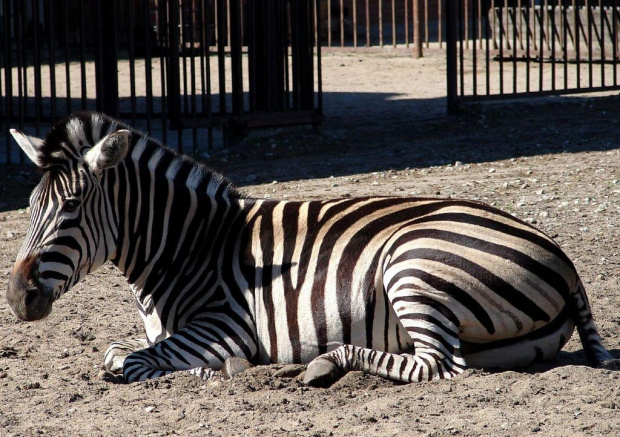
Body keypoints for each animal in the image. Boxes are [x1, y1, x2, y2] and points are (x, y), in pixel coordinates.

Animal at [7, 111, 616, 384]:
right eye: (29, 207)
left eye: (70, 208)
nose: (15, 298)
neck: (188, 246)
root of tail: (566, 261)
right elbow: (120, 351)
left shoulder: (226, 324)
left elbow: (131, 362)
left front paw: (220, 370)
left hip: (412, 263)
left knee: (441, 368)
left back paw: (325, 362)